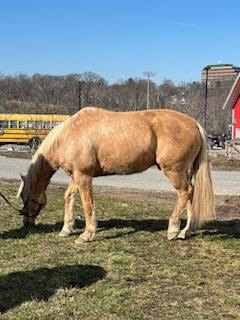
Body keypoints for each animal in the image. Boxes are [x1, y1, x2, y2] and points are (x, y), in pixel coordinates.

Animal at [16, 106, 216, 244]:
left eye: (27, 198)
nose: (26, 223)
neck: (69, 135)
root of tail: (193, 123)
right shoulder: (76, 176)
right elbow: (69, 197)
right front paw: (67, 229)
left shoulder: (84, 176)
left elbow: (88, 204)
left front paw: (86, 235)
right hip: (184, 172)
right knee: (191, 194)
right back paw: (185, 232)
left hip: (174, 171)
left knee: (184, 193)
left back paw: (173, 230)